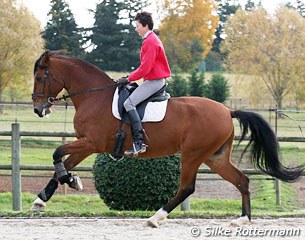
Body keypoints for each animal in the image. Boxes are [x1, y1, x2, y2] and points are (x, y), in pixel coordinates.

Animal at [30, 50, 302, 227]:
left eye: (41, 78)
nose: (38, 109)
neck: (93, 96)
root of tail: (227, 110)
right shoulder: (87, 145)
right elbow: (62, 163)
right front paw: (43, 198)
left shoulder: (91, 142)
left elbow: (57, 154)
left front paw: (69, 181)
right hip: (215, 158)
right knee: (242, 180)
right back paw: (242, 219)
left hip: (192, 154)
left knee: (187, 188)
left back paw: (155, 218)